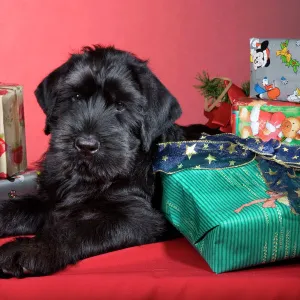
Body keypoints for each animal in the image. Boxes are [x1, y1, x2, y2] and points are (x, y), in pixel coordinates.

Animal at [0, 45, 218, 278]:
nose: (85, 145)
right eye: (76, 97)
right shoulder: (50, 198)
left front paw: (30, 249)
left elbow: (75, 228)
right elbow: (18, 207)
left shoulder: (136, 216)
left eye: (120, 105)